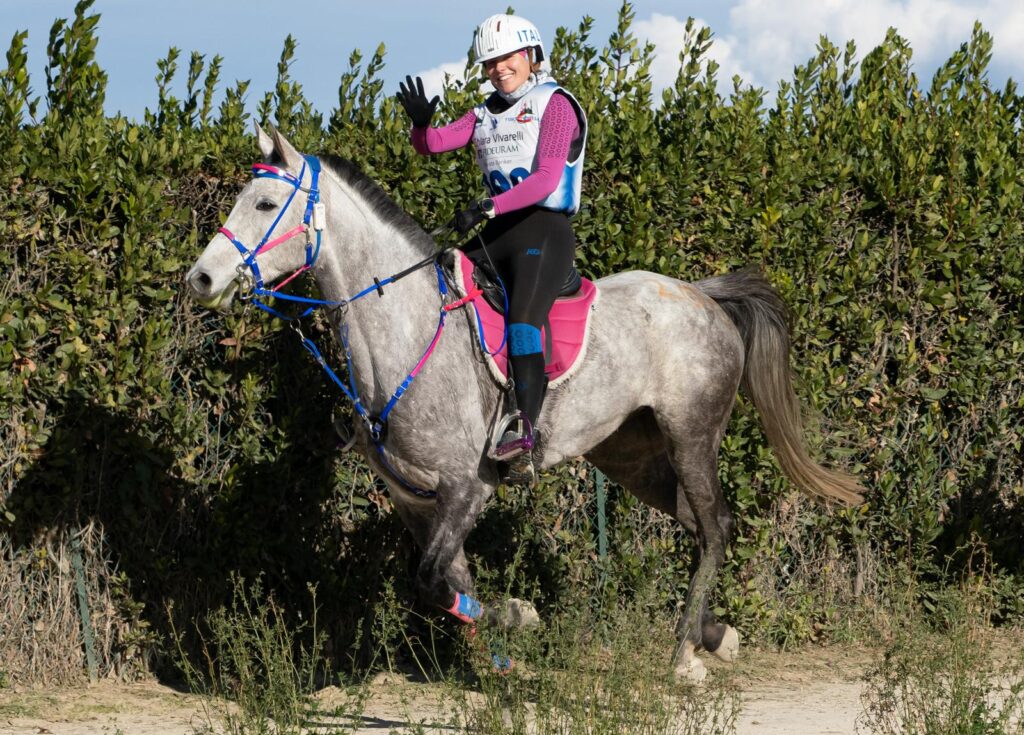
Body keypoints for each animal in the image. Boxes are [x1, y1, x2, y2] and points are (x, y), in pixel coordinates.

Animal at [186, 126, 864, 683]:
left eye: (265, 205)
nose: (201, 280)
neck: (403, 331)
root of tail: (701, 294)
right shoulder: (416, 501)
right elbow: (446, 582)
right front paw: (502, 653)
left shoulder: (468, 487)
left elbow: (430, 580)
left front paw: (520, 617)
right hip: (631, 455)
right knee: (699, 527)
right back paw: (715, 635)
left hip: (692, 435)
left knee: (716, 525)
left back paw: (683, 656)